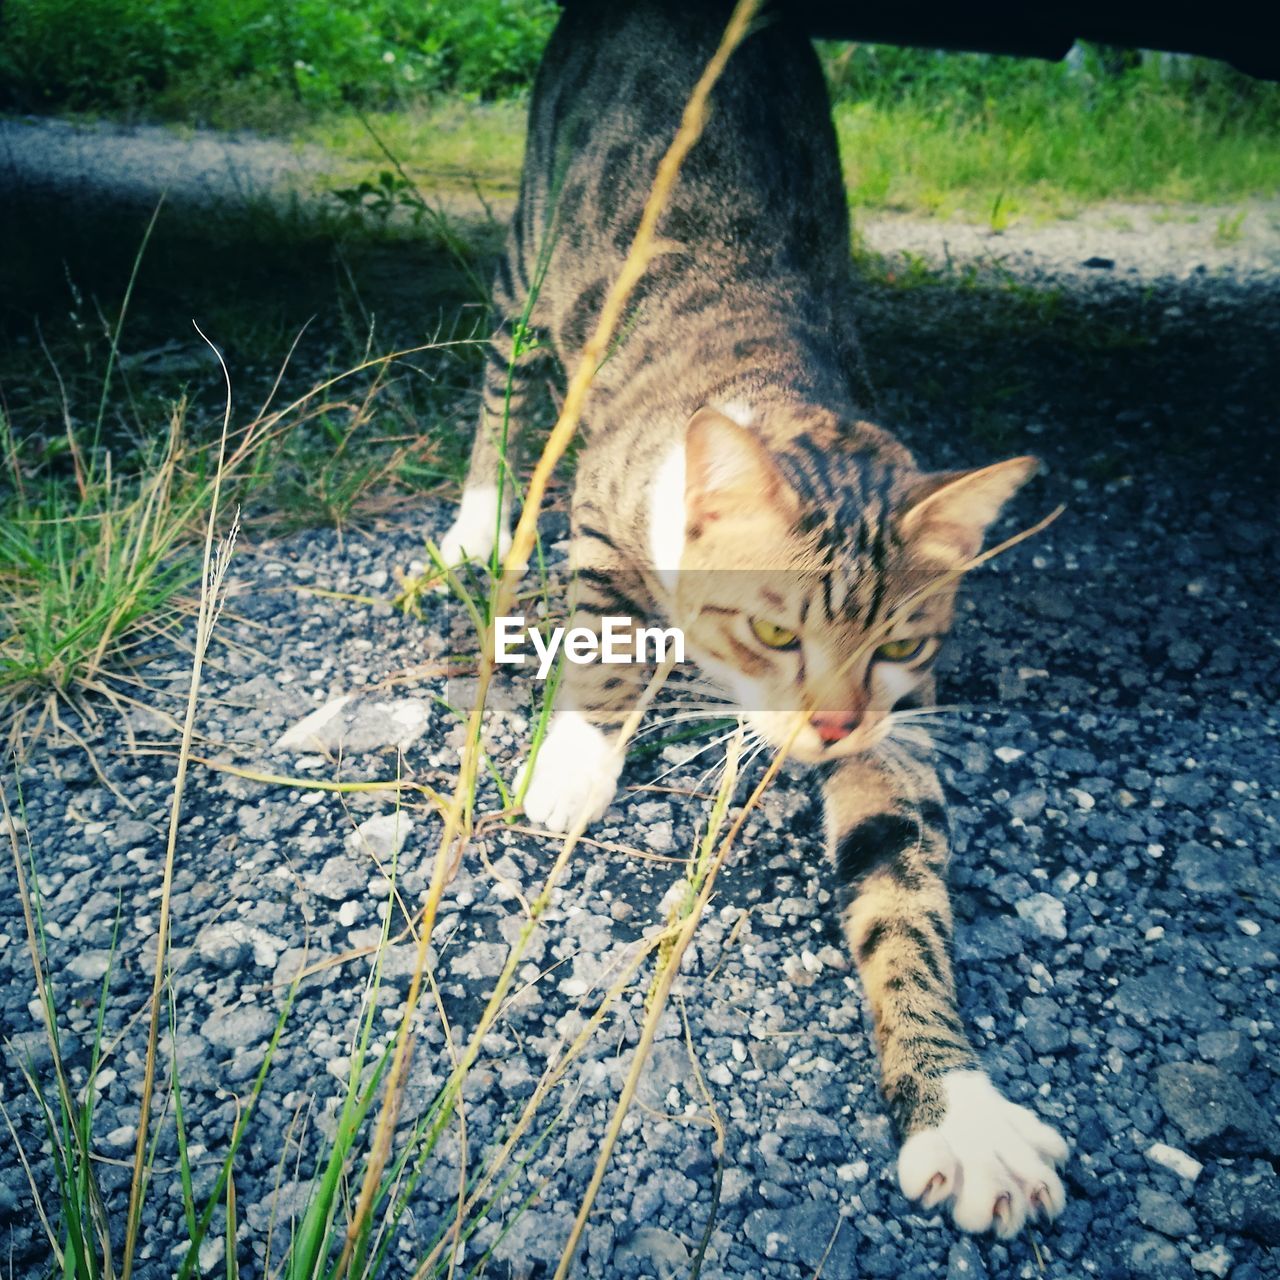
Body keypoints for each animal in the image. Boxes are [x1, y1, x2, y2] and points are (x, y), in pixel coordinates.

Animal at [440, 0, 1070, 1239]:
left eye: (899, 643)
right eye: (775, 633)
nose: (826, 726)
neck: (772, 380)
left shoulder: (895, 726)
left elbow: (899, 886)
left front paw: (960, 1110)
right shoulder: (606, 504)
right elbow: (603, 631)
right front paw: (572, 766)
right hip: (537, 241)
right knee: (500, 367)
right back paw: (480, 520)